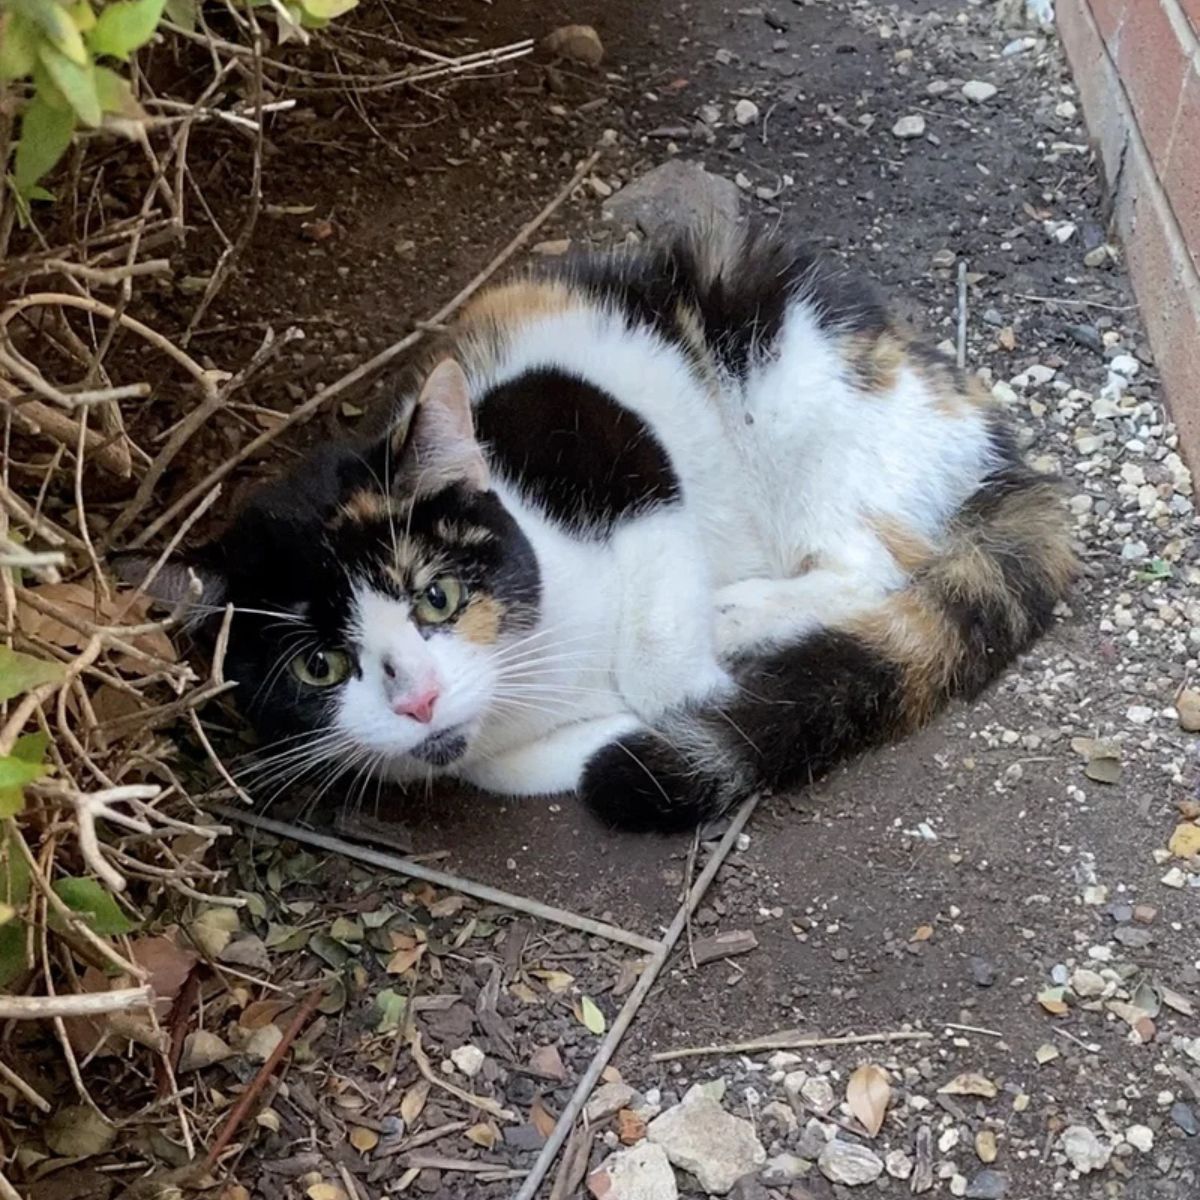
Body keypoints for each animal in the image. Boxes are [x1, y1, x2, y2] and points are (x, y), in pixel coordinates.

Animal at [133, 225, 1080, 830]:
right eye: (318, 667)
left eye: (438, 597)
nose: (419, 698)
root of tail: (984, 428)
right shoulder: (474, 748)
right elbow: (504, 766)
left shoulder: (621, 466)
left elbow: (660, 655)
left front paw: (699, 700)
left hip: (798, 394)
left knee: (870, 564)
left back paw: (740, 612)